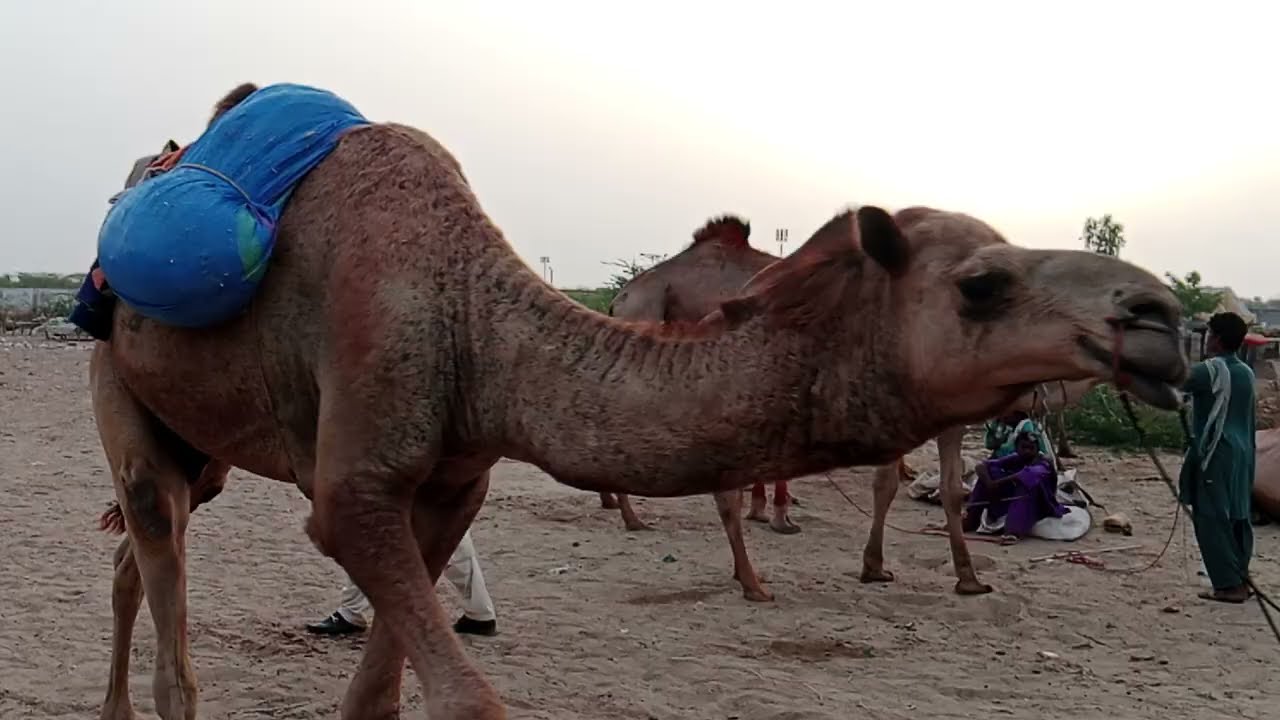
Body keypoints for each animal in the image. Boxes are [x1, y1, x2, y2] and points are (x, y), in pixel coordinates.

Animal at [88, 83, 1189, 720]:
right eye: (981, 284)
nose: (1159, 316)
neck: (471, 319)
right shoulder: (355, 486)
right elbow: (464, 698)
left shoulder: (451, 482)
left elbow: (380, 700)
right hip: (118, 377)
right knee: (159, 571)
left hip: (205, 441)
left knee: (135, 554)